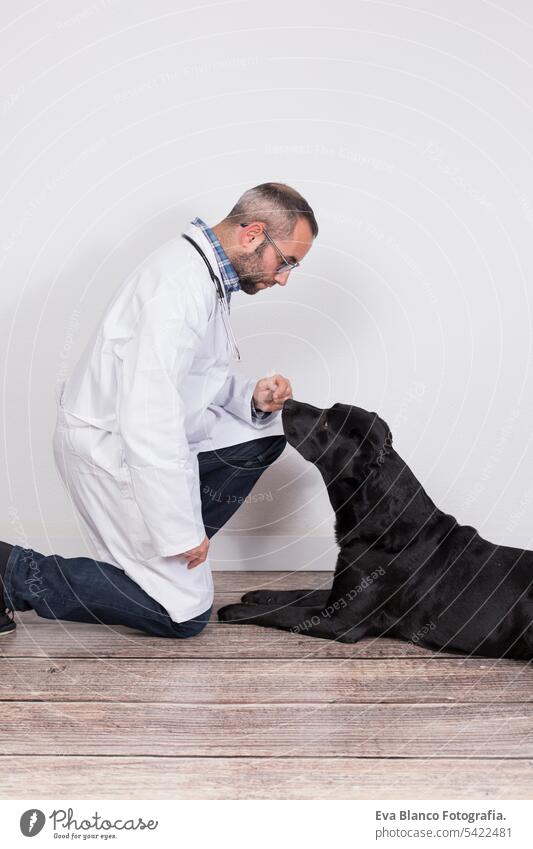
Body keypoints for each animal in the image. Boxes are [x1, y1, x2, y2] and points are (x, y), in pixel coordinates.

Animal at [218, 400, 532, 660]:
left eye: (326, 423)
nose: (287, 403)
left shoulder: (338, 621)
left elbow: (281, 613)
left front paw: (235, 609)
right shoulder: (341, 592)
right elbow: (301, 592)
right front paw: (261, 594)